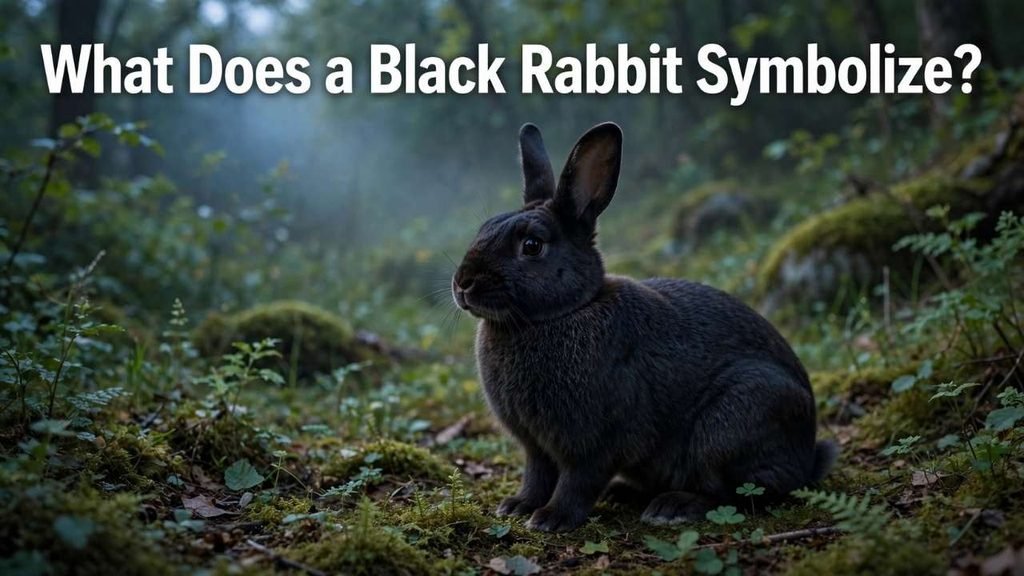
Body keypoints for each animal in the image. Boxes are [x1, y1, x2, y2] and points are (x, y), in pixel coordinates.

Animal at [451, 122, 837, 532]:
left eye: (532, 245)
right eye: (484, 228)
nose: (463, 284)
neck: (562, 312)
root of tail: (807, 456)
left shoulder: (594, 443)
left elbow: (577, 480)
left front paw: (552, 519)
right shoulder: (536, 447)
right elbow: (536, 475)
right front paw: (517, 506)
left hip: (734, 422)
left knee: (734, 492)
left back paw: (672, 507)